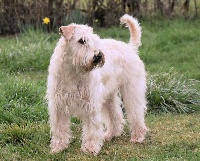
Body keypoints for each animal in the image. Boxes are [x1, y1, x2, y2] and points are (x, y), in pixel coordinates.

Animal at [46, 13, 148, 155]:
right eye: (81, 40)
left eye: (94, 40)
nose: (98, 55)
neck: (72, 71)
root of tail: (130, 47)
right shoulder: (58, 105)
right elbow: (59, 128)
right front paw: (58, 147)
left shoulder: (90, 104)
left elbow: (91, 129)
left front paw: (90, 148)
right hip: (109, 96)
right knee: (115, 116)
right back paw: (110, 135)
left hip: (131, 90)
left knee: (136, 113)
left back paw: (137, 137)